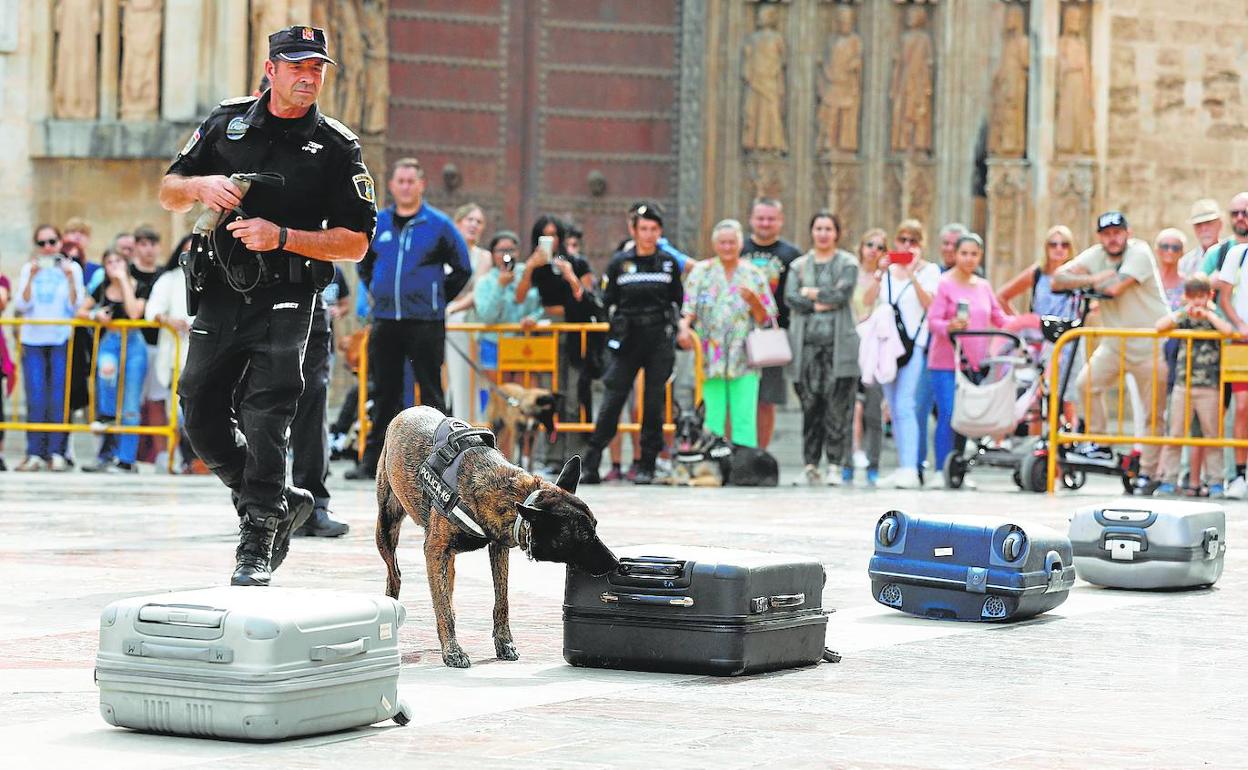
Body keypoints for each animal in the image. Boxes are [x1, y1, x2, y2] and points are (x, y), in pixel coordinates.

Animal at [374, 401, 619, 668]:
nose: (616, 563)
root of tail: (410, 409)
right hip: (386, 528)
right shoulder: (434, 551)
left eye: (595, 526)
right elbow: (442, 607)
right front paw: (452, 650)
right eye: (584, 536)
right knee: (396, 575)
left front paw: (504, 643)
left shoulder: (498, 548)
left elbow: (501, 600)